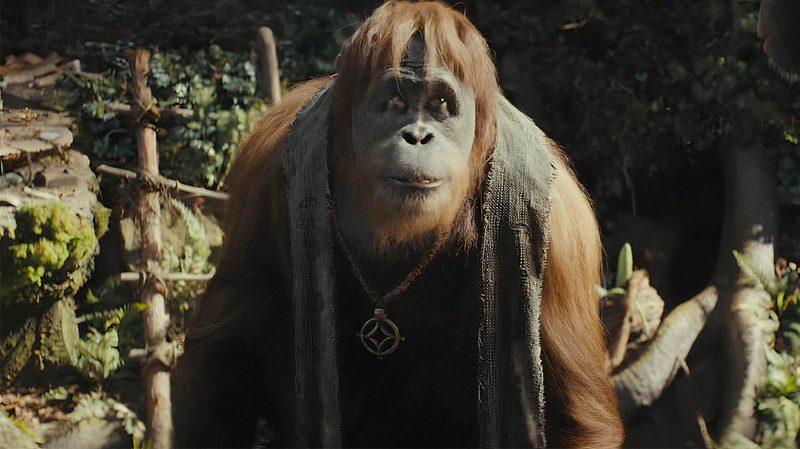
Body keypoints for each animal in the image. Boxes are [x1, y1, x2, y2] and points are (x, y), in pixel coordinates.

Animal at [173, 1, 623, 447]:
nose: (418, 136)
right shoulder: (265, 170)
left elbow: (578, 418)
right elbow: (223, 353)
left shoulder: (561, 229)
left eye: (441, 104)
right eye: (395, 101)